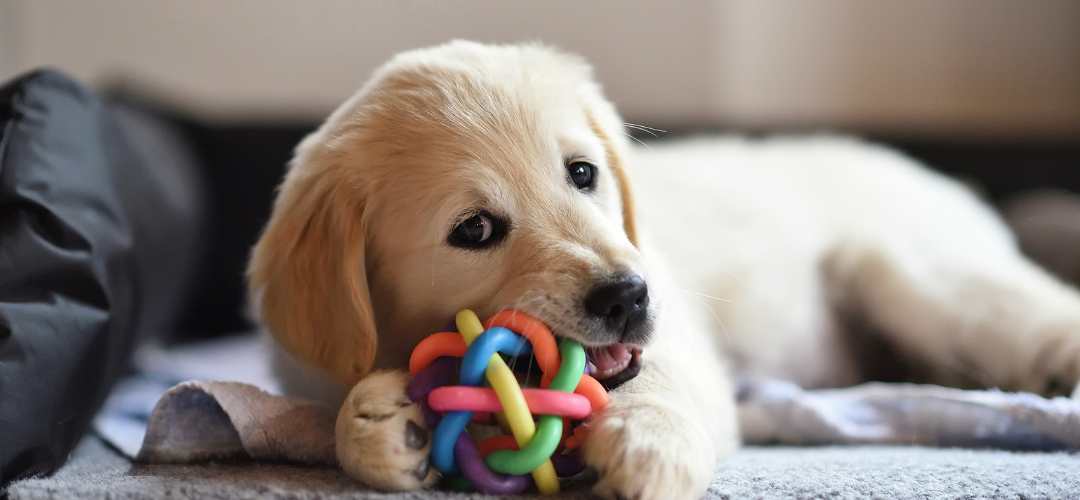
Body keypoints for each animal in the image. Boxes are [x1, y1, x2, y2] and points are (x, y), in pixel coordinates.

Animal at [248, 41, 1080, 498]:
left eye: (582, 174)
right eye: (474, 229)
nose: (628, 296)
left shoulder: (680, 343)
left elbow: (660, 383)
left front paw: (648, 445)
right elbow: (339, 414)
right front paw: (382, 423)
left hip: (911, 275)